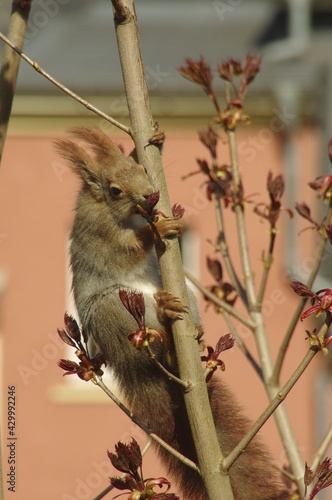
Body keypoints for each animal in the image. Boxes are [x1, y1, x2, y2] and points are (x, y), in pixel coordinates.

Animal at [54, 129, 288, 500]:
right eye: (114, 190)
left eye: (140, 168)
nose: (149, 194)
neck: (125, 214)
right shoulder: (100, 238)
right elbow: (127, 249)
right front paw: (157, 232)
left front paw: (156, 141)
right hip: (114, 312)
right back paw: (163, 317)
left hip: (185, 295)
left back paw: (190, 338)